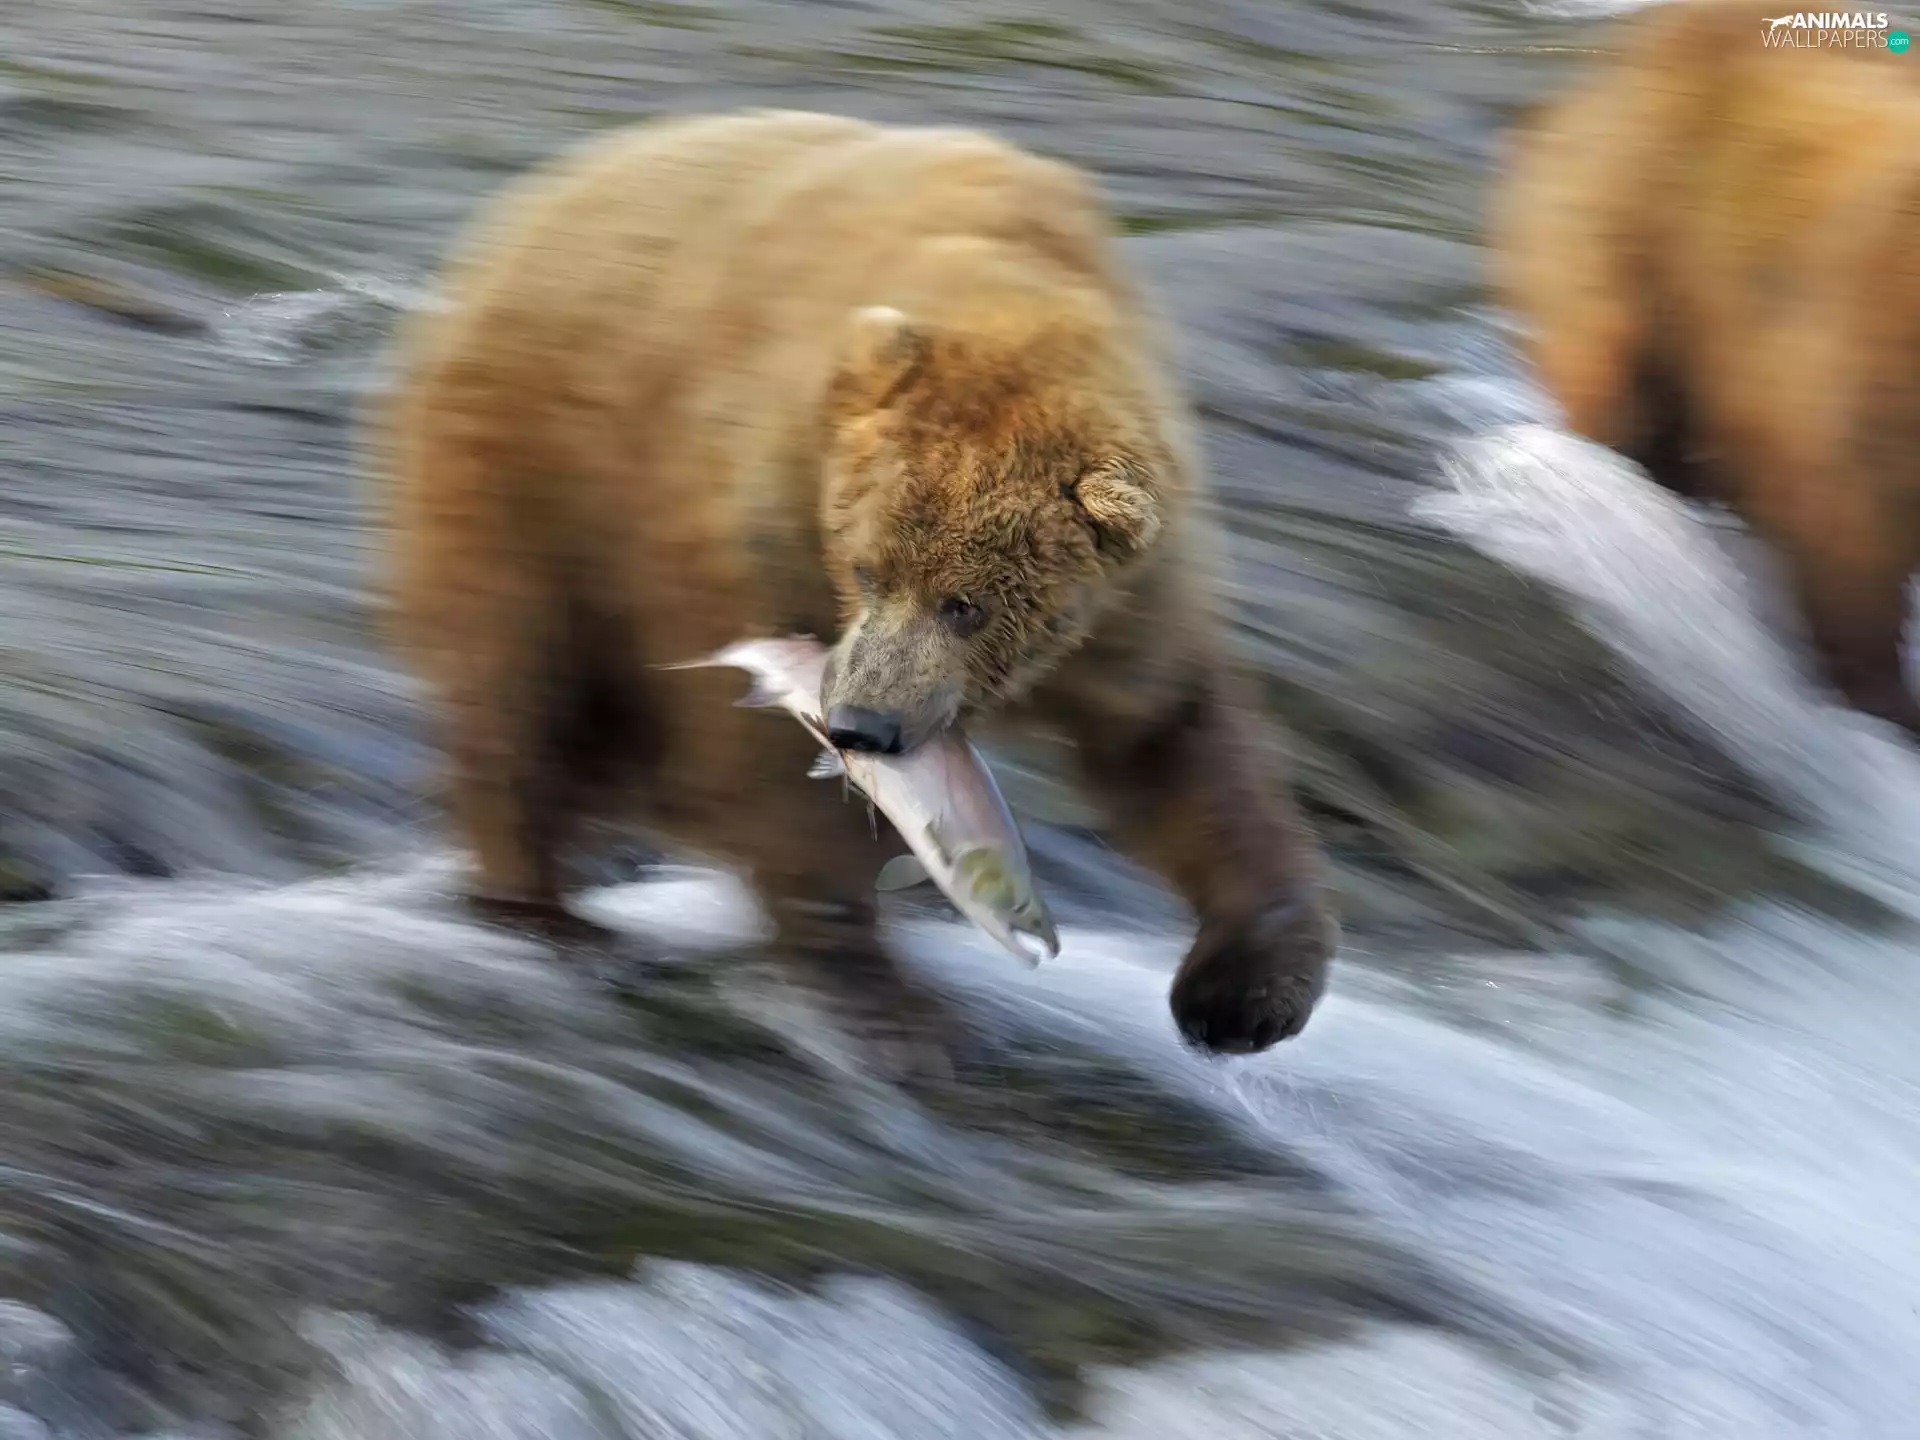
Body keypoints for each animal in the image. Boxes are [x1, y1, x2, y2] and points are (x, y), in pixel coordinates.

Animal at [377, 109, 1337, 1068]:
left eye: (968, 603)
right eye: (869, 567)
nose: (860, 726)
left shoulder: (1128, 606)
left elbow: (1180, 743)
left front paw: (1244, 994)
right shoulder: (750, 519)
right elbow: (769, 776)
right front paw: (880, 1000)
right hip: (530, 492)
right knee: (518, 697)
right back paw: (544, 916)